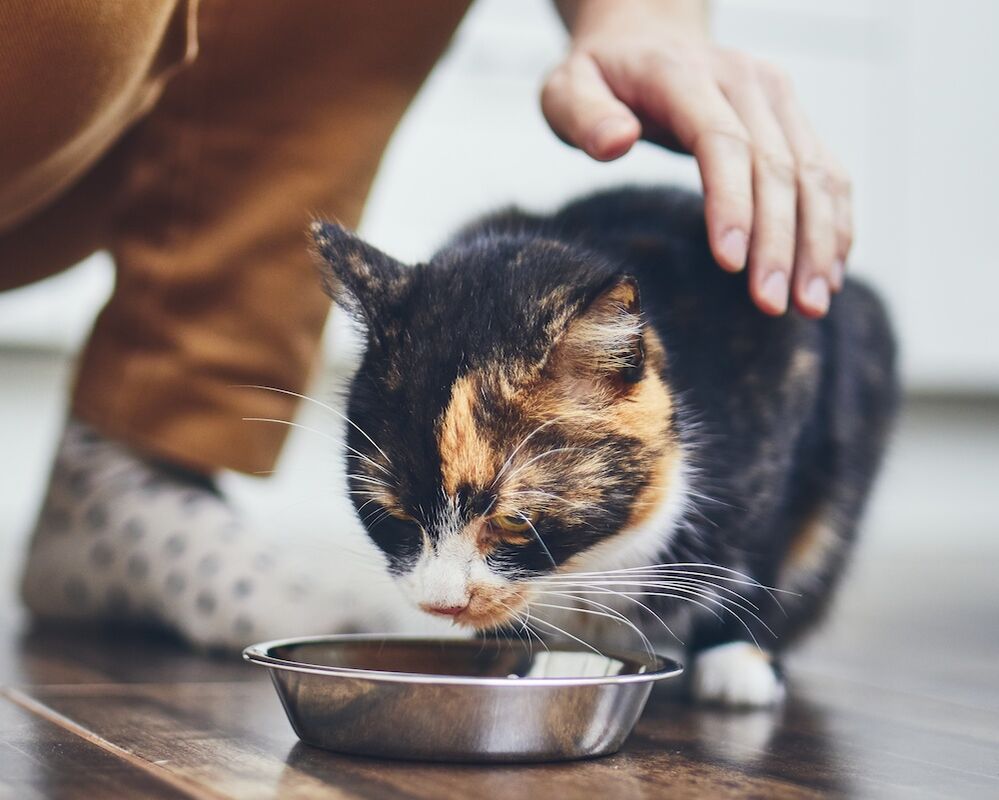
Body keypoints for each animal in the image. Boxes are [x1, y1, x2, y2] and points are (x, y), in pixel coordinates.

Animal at [312, 186, 900, 708]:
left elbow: (760, 548)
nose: (441, 603)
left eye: (514, 521)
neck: (587, 565)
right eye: (393, 515)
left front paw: (738, 658)